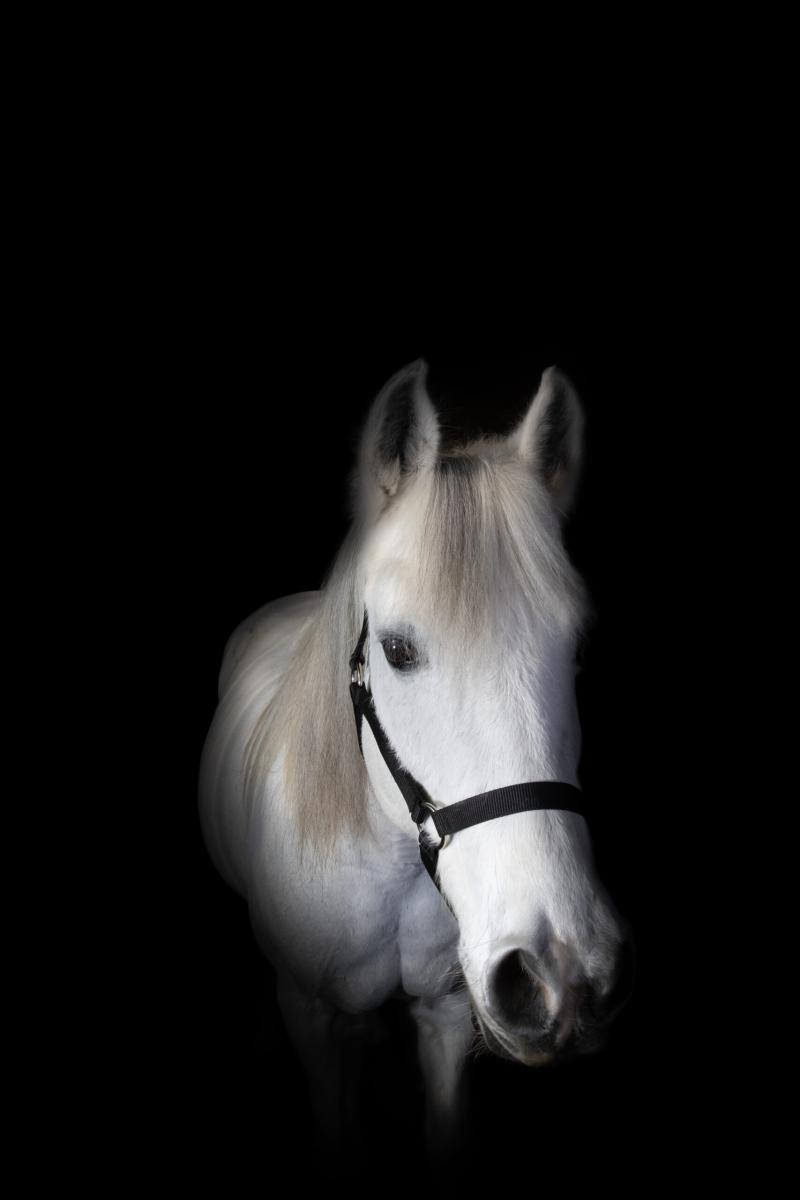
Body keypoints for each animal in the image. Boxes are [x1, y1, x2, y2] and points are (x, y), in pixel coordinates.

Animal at [198, 358, 635, 1167]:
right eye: (397, 650)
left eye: (580, 651)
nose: (565, 974)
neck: (393, 867)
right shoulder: (313, 1018)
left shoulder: (449, 1011)